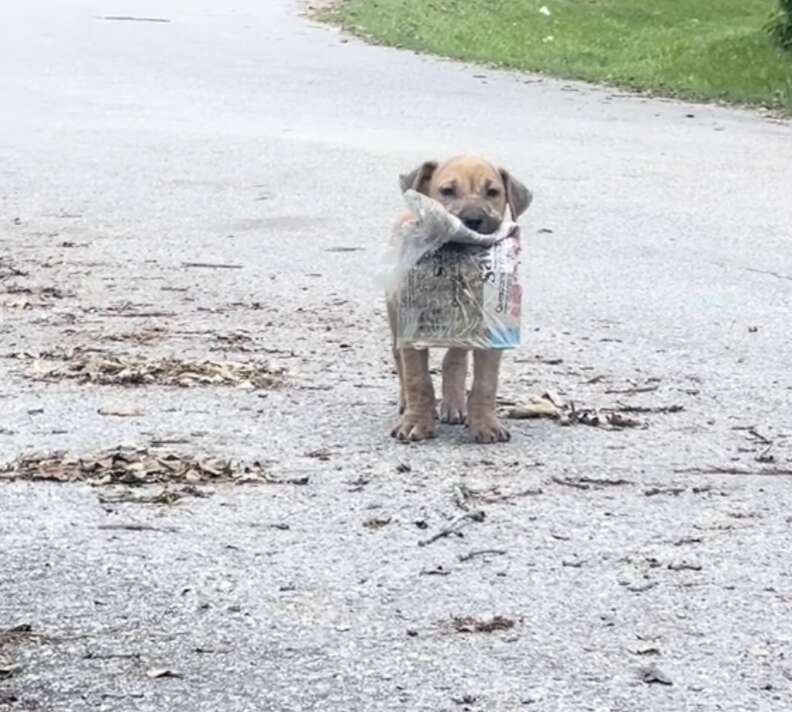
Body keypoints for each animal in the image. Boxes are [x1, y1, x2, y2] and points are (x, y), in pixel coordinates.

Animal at [388, 156, 532, 442]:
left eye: (493, 192)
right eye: (447, 191)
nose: (473, 219)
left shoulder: (490, 332)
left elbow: (486, 383)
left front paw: (486, 425)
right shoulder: (410, 328)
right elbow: (417, 378)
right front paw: (415, 422)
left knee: (454, 359)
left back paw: (454, 405)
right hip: (394, 314)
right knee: (399, 358)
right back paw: (406, 403)